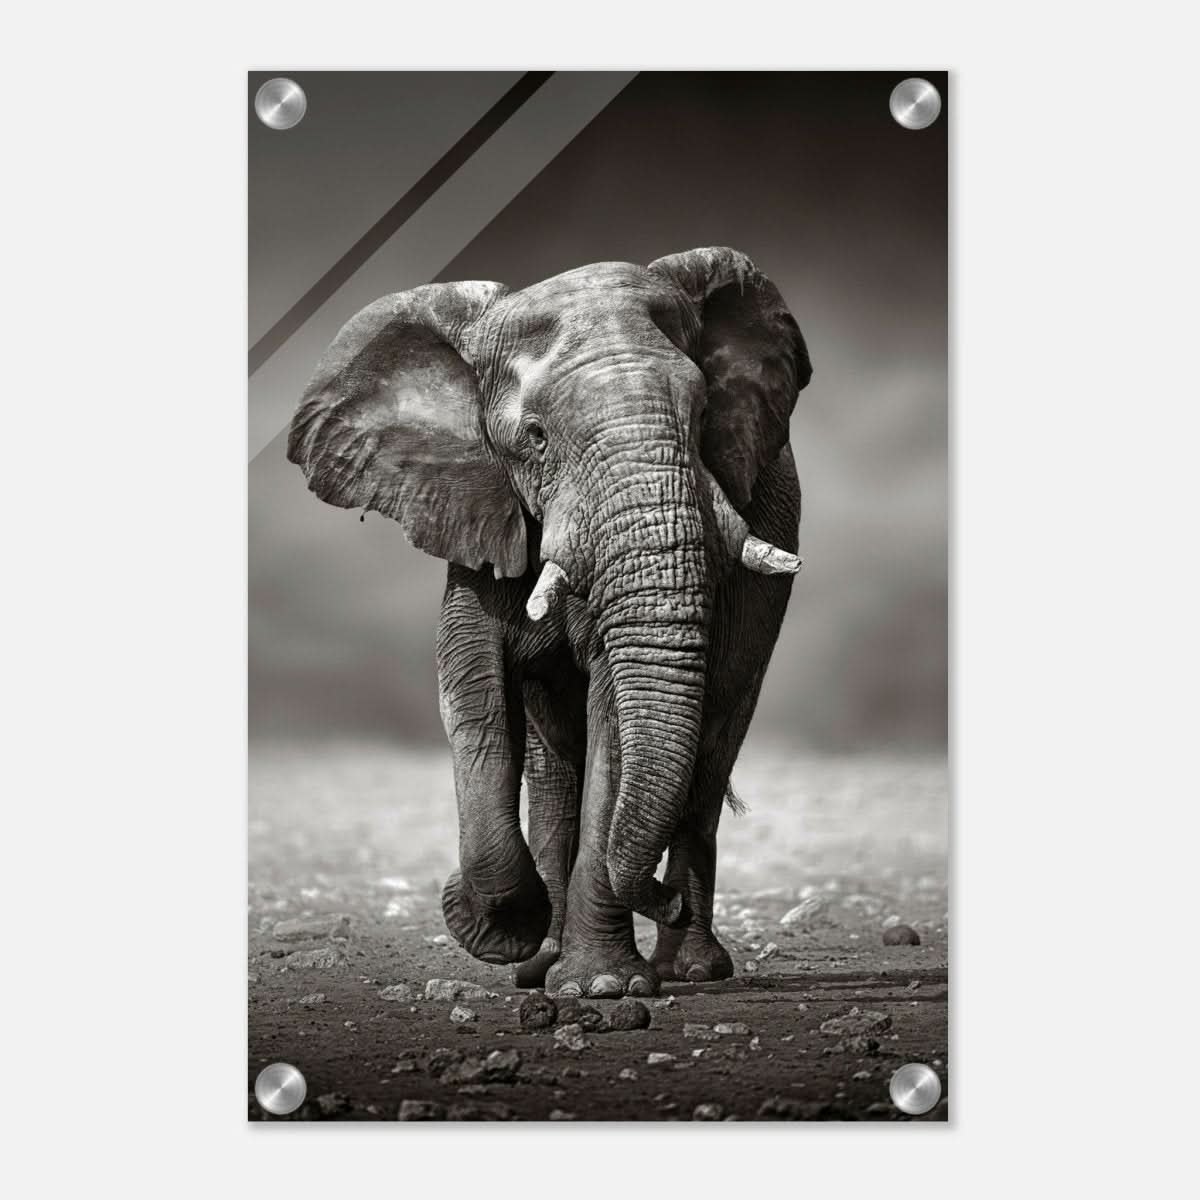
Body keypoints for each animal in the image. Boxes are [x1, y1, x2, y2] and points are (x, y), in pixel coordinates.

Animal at [287, 247, 811, 998]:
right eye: (534, 438)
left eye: (704, 412)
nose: (661, 900)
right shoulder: (477, 507)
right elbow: (472, 692)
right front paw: (501, 929)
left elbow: (613, 716)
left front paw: (603, 987)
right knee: (553, 767)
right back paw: (542, 963)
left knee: (710, 748)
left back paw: (688, 968)